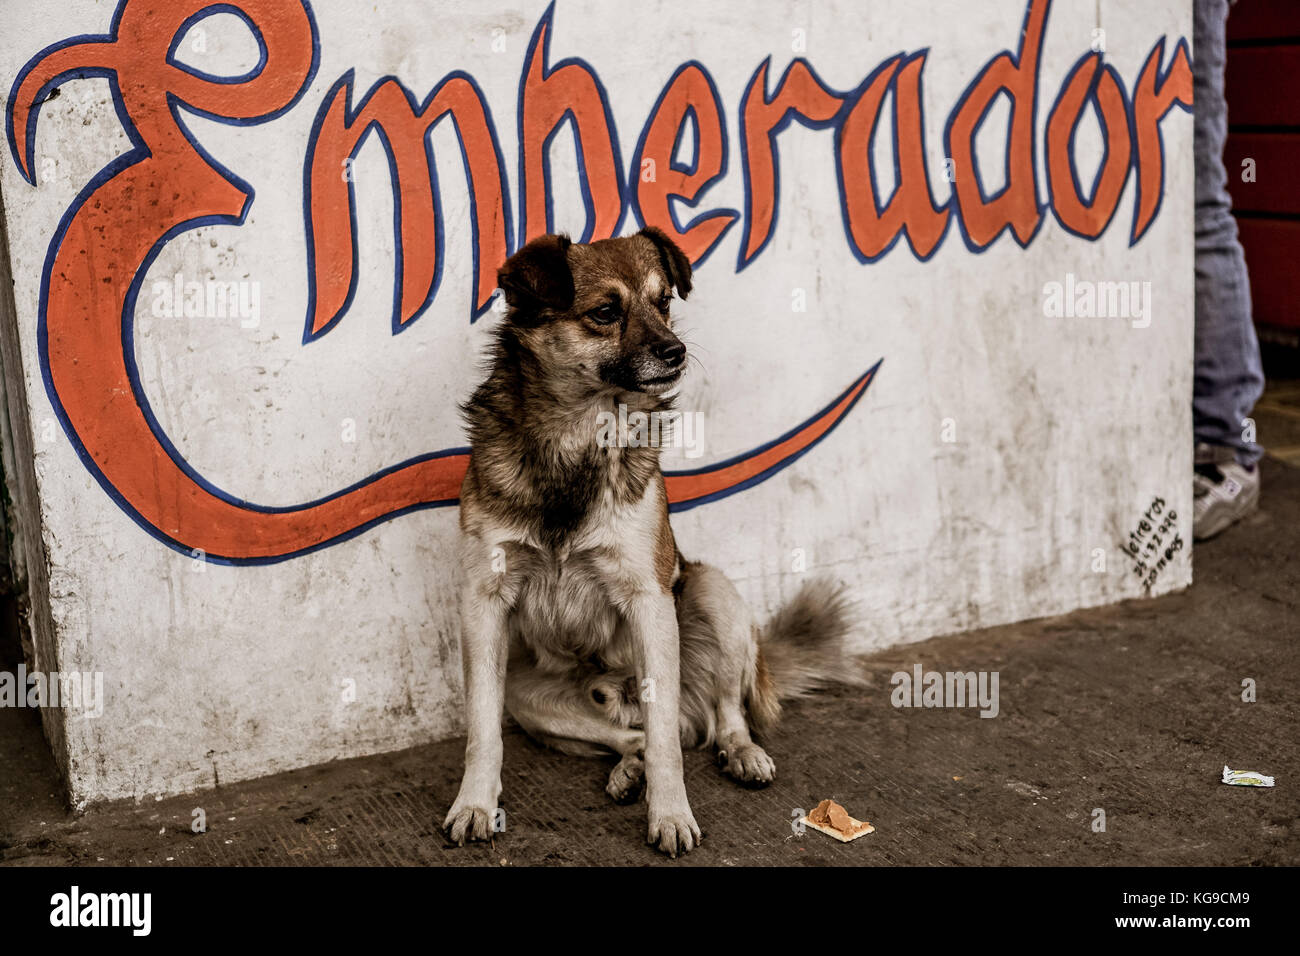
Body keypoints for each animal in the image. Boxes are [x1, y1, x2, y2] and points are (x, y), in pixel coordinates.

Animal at [441, 226, 857, 858]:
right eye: (604, 313)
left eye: (664, 303)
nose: (676, 352)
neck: (576, 440)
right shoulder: (484, 602)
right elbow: (483, 731)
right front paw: (474, 805)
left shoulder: (649, 598)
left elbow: (667, 743)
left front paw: (671, 816)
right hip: (528, 694)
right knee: (632, 734)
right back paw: (627, 771)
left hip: (715, 593)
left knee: (715, 714)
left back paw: (741, 753)